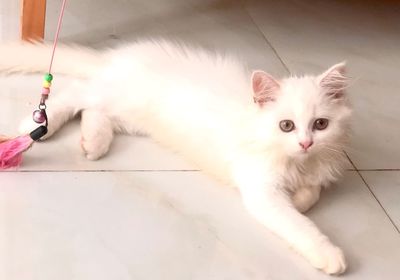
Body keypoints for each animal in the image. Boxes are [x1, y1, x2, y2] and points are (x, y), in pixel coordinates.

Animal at [0, 40, 350, 274]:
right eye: (286, 125)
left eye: (320, 124)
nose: (305, 143)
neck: (298, 162)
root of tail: (118, 59)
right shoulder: (262, 190)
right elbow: (298, 224)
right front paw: (329, 253)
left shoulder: (316, 170)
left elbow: (312, 193)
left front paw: (301, 198)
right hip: (119, 96)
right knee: (76, 94)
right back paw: (34, 125)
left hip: (133, 116)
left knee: (93, 111)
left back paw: (94, 142)